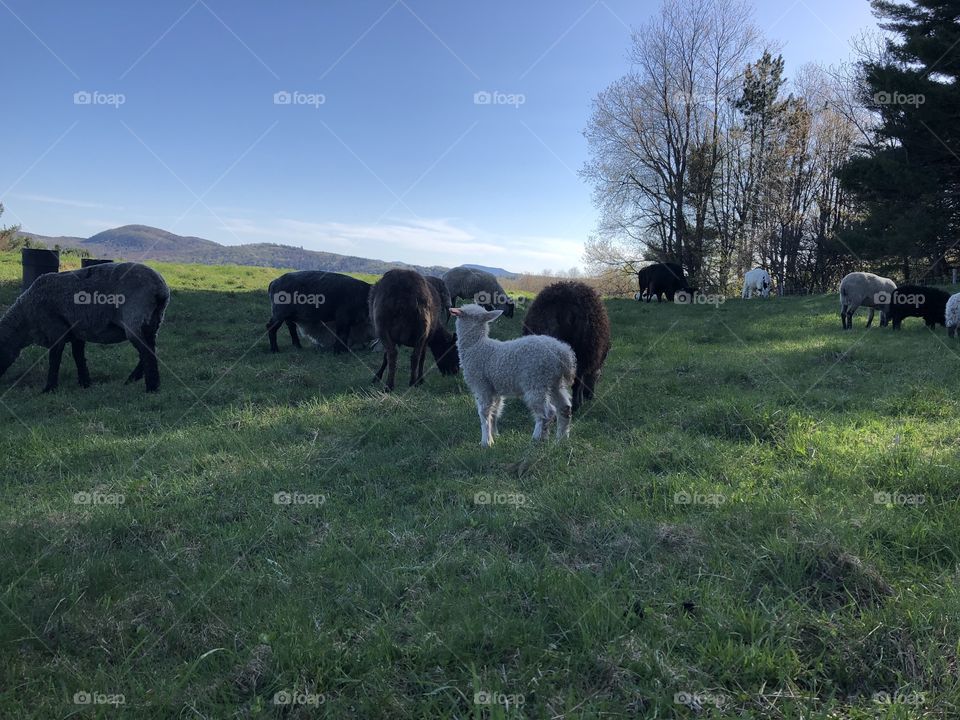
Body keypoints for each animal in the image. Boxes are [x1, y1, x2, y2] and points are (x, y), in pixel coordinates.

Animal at [0, 262, 169, 392]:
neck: (25, 320)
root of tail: (160, 289)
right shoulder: (76, 331)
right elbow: (79, 356)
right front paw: (85, 383)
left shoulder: (56, 330)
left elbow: (54, 360)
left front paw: (49, 389)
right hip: (153, 321)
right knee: (150, 349)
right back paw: (132, 380)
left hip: (134, 317)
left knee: (146, 352)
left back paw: (152, 387)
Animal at [451, 304, 576, 447]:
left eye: (462, 313)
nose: (452, 310)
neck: (475, 346)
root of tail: (563, 352)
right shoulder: (494, 388)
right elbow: (495, 411)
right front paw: (495, 435)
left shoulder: (482, 385)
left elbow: (484, 413)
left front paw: (486, 442)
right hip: (554, 381)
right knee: (565, 407)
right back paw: (561, 439)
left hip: (536, 380)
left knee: (547, 412)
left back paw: (538, 438)